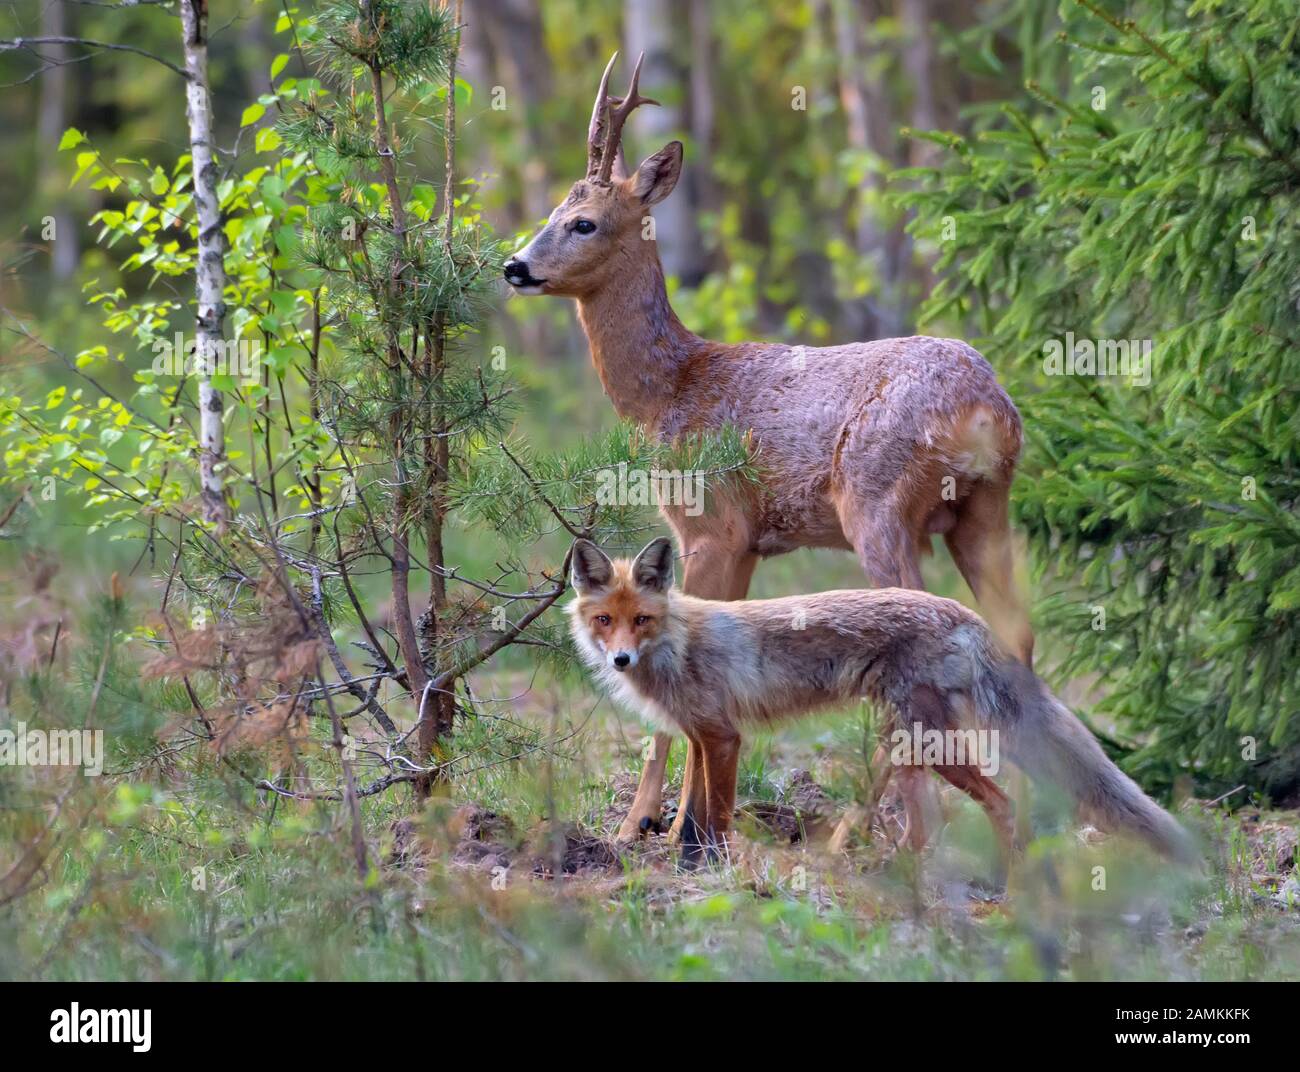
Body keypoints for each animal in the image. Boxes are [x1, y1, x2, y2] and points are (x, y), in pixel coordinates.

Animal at [568, 537, 1199, 868]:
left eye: (641, 621)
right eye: (605, 621)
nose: (620, 660)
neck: (678, 644)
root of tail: (960, 610)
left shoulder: (724, 737)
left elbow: (716, 815)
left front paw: (720, 869)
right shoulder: (702, 736)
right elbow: (691, 814)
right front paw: (686, 860)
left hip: (933, 744)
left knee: (1000, 802)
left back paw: (1007, 880)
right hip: (911, 743)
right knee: (946, 818)